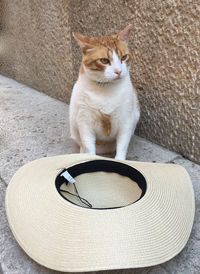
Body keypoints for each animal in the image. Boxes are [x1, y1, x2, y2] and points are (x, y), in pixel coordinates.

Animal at [69, 25, 140, 161]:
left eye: (124, 57)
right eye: (104, 60)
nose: (118, 71)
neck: (106, 89)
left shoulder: (126, 120)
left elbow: (122, 146)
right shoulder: (85, 121)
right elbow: (88, 147)